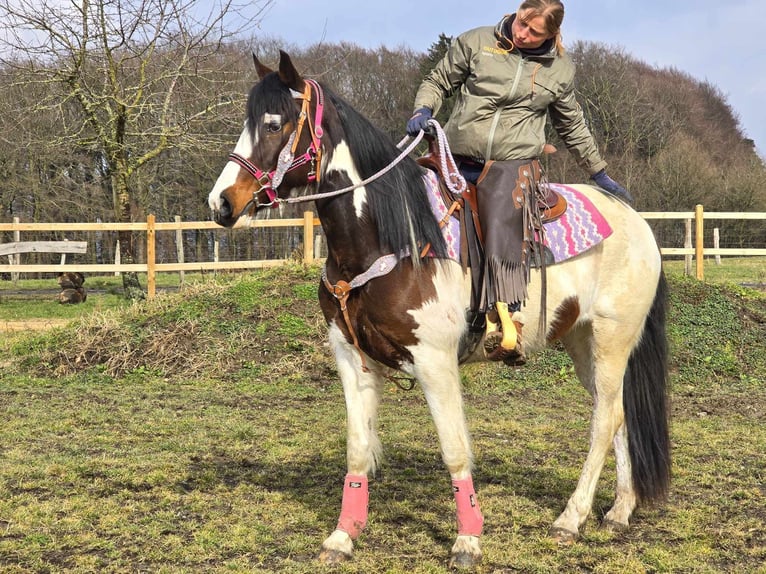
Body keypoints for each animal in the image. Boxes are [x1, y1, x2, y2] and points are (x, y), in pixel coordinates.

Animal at [207, 50, 668, 572]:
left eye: (272, 124)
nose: (221, 203)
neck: (390, 238)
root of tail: (637, 222)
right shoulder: (351, 359)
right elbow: (358, 450)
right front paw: (343, 536)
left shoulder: (435, 361)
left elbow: (454, 451)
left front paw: (467, 539)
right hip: (582, 342)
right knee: (619, 414)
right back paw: (619, 510)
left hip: (612, 340)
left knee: (604, 420)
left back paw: (571, 519)